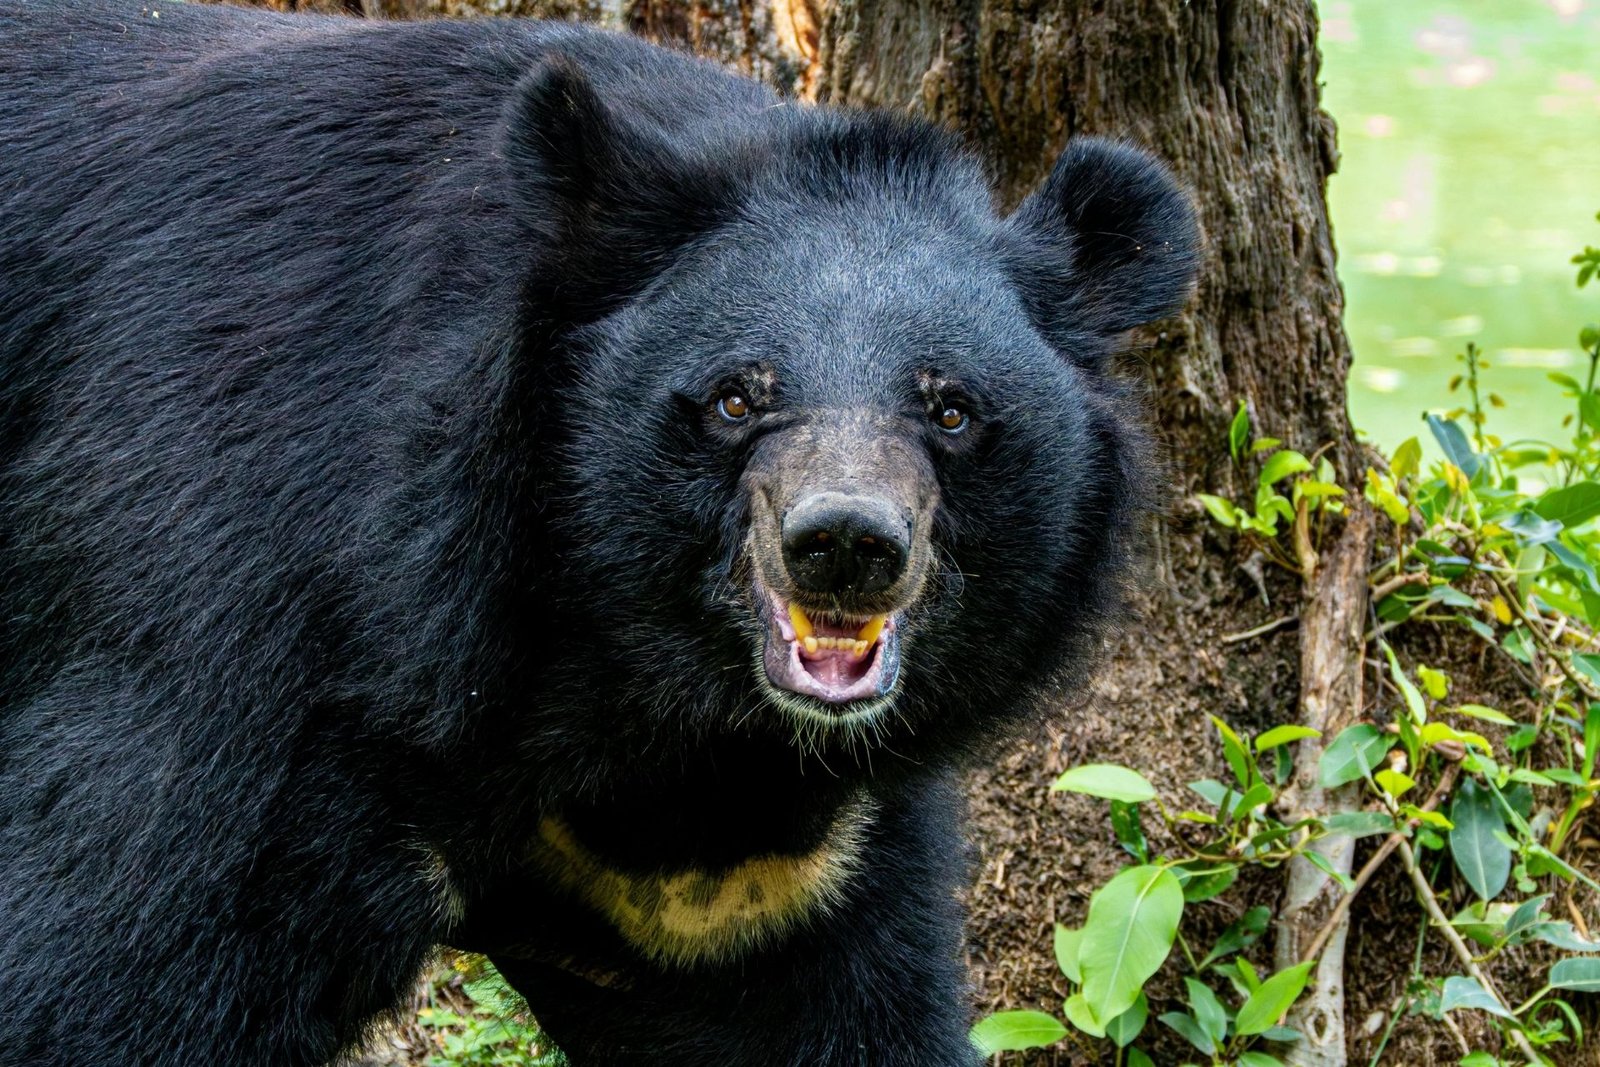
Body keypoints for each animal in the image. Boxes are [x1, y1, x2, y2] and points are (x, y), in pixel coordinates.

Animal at [0, 2, 1199, 1064]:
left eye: (950, 411)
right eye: (734, 398)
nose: (846, 543)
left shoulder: (775, 874)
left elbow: (829, 1017)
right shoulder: (248, 620)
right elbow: (114, 955)